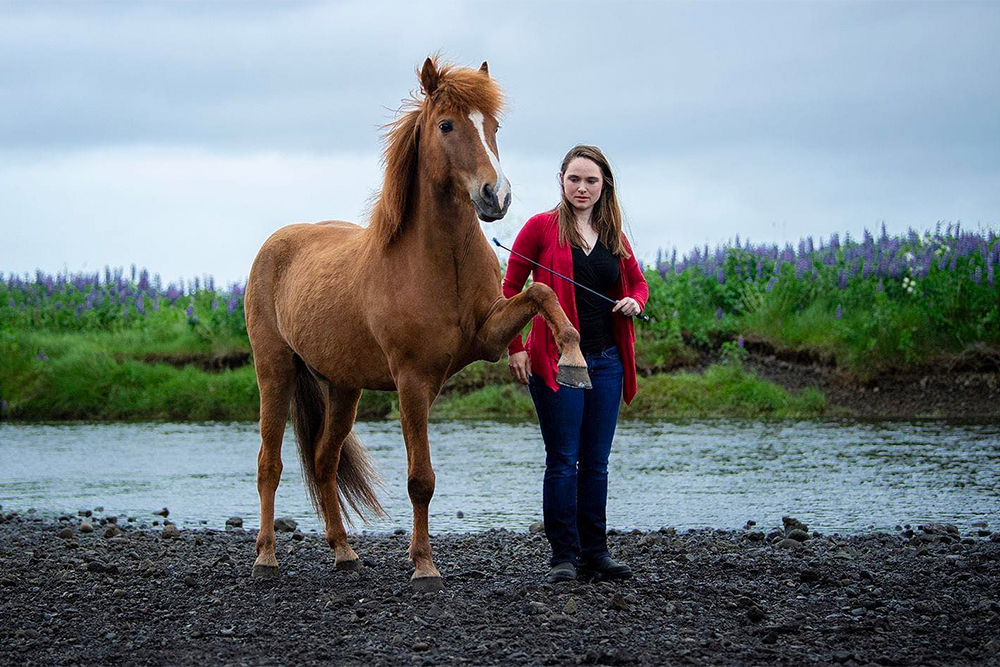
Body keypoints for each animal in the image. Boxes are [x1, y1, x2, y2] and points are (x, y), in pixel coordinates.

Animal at [246, 56, 588, 588]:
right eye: (446, 125)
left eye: (494, 127)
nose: (496, 195)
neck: (436, 261)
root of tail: (275, 244)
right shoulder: (412, 381)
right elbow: (420, 480)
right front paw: (425, 566)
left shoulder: (488, 336)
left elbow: (542, 292)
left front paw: (574, 359)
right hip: (275, 372)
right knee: (270, 464)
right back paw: (266, 557)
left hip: (343, 387)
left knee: (324, 462)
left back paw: (344, 550)